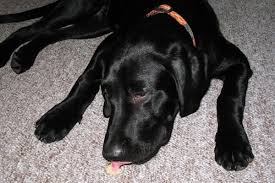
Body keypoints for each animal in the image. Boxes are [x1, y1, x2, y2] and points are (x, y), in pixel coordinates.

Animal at [0, 0, 256, 171]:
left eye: (141, 93)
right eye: (106, 93)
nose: (111, 155)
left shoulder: (238, 62)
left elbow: (228, 98)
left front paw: (232, 144)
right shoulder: (105, 49)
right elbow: (84, 82)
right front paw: (58, 116)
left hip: (98, 23)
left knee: (53, 32)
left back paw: (24, 54)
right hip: (81, 9)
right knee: (33, 28)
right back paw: (11, 52)